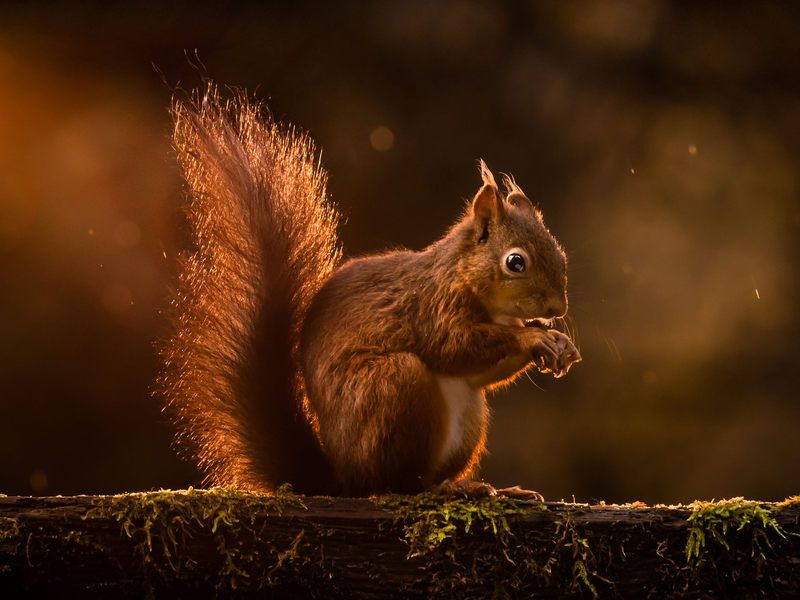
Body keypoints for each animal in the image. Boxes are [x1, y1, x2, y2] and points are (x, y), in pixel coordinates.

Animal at [159, 84, 580, 500]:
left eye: (561, 254)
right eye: (515, 262)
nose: (558, 308)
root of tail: (342, 477)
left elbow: (481, 373)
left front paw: (559, 342)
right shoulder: (433, 306)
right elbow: (453, 346)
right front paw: (534, 338)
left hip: (467, 415)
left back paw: (486, 488)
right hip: (392, 388)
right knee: (396, 483)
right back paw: (443, 491)